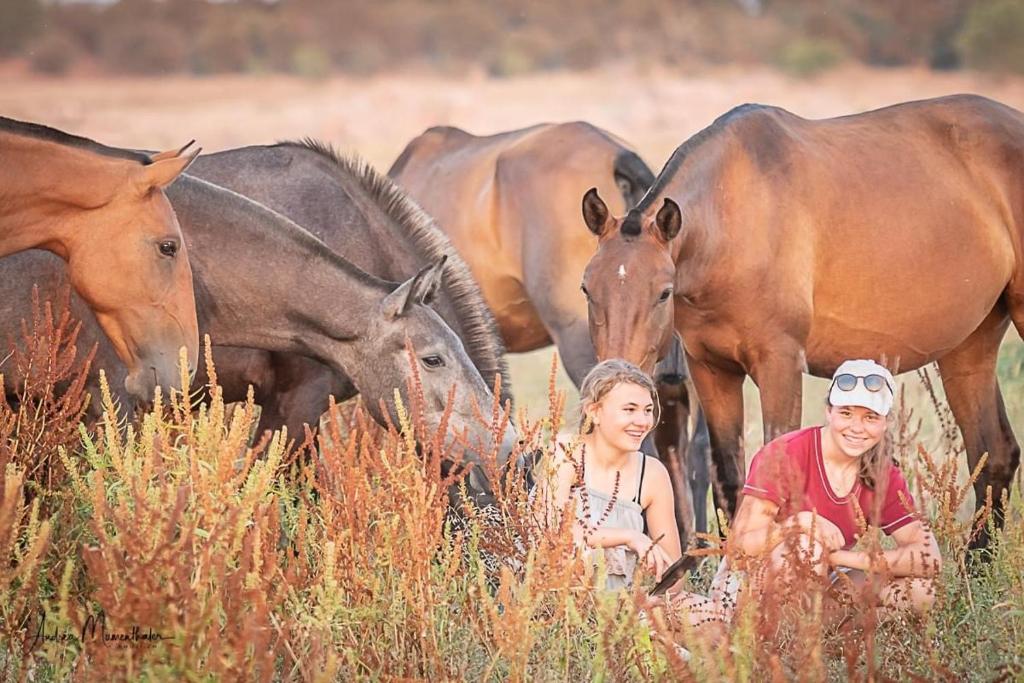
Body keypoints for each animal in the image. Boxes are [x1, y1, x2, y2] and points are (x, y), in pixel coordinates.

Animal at [581, 93, 1024, 548]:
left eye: (663, 293)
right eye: (586, 289)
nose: (614, 380)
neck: (734, 214)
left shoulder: (780, 363)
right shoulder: (712, 369)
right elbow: (728, 482)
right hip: (970, 346)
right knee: (995, 454)